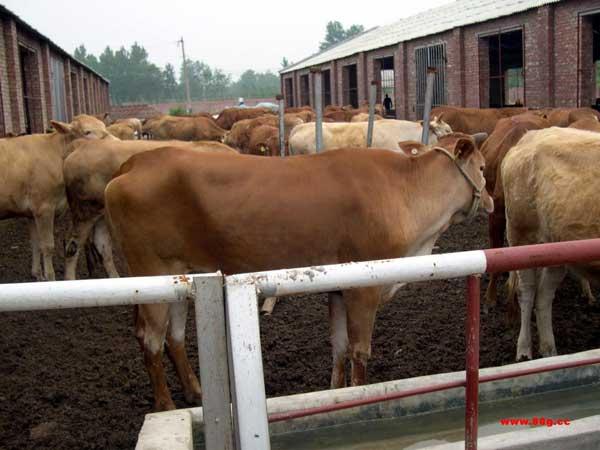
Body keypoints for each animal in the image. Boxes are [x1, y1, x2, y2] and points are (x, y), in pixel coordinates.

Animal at [0, 114, 110, 280]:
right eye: (87, 132)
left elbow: (36, 244)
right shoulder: (43, 208)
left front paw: (38, 275)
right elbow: (47, 246)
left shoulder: (31, 212)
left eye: (104, 127)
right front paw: (50, 277)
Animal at [106, 134, 492, 412]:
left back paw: (195, 391)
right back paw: (166, 404)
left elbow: (339, 348)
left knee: (173, 337)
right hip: (151, 272)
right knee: (151, 341)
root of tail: (137, 161)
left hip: (179, 278)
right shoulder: (363, 289)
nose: (490, 200)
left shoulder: (339, 288)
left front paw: (333, 396)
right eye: (484, 167)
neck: (404, 191)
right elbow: (359, 352)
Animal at [504, 128, 596, 360]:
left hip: (555, 249)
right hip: (522, 239)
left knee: (544, 296)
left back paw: (549, 351)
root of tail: (528, 137)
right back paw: (524, 350)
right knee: (527, 292)